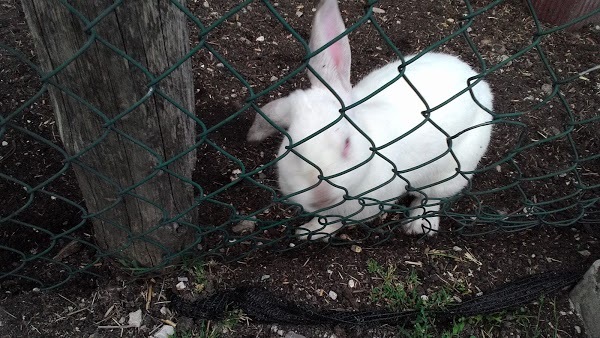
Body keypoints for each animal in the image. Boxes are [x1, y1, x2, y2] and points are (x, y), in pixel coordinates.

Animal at [247, 0, 492, 240]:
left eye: (347, 143)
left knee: (431, 198)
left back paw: (419, 225)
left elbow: (335, 222)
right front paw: (310, 230)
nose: (320, 196)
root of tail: (479, 84)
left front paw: (313, 232)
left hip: (453, 170)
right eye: (290, 148)